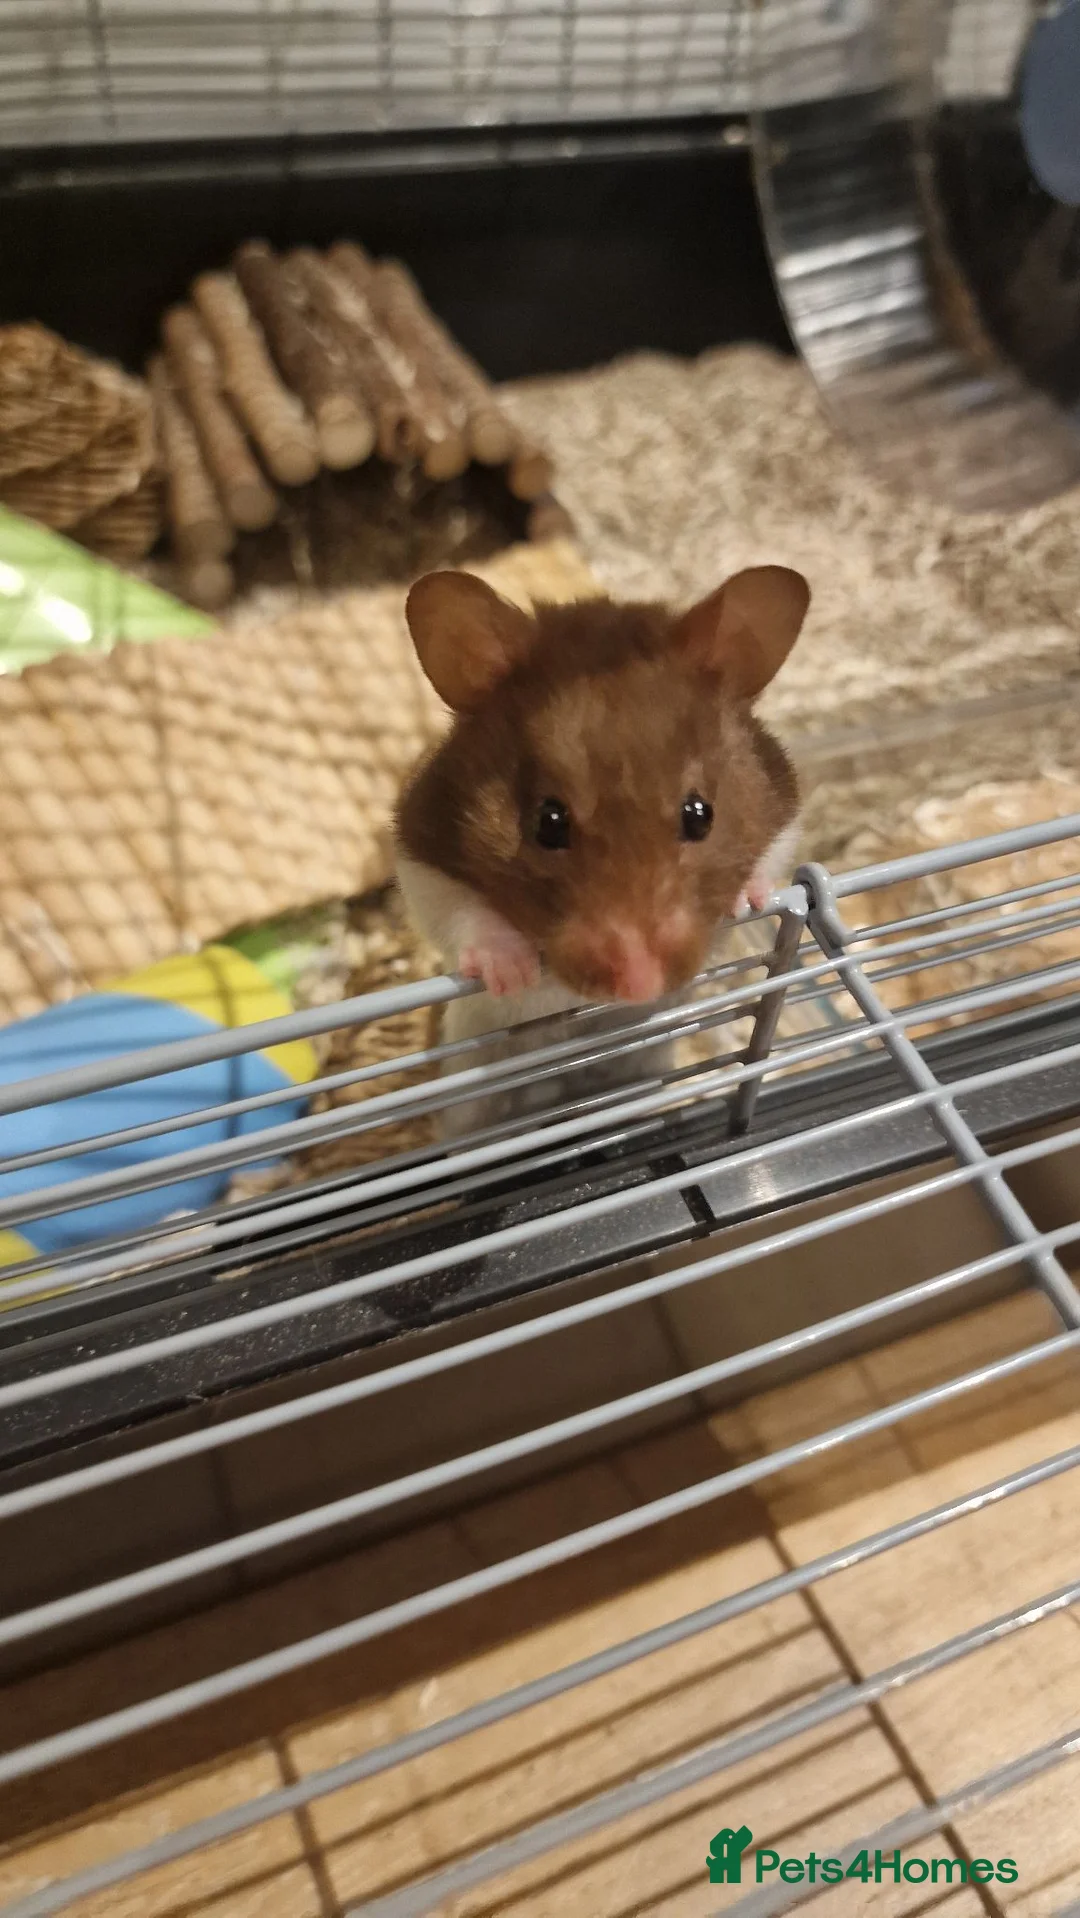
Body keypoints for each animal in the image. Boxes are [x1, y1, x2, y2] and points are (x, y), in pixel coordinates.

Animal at [394, 564, 810, 1140]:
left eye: (700, 814)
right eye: (548, 823)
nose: (639, 987)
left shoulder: (783, 810)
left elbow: (770, 858)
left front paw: (748, 900)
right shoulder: (420, 850)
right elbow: (460, 912)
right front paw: (513, 972)